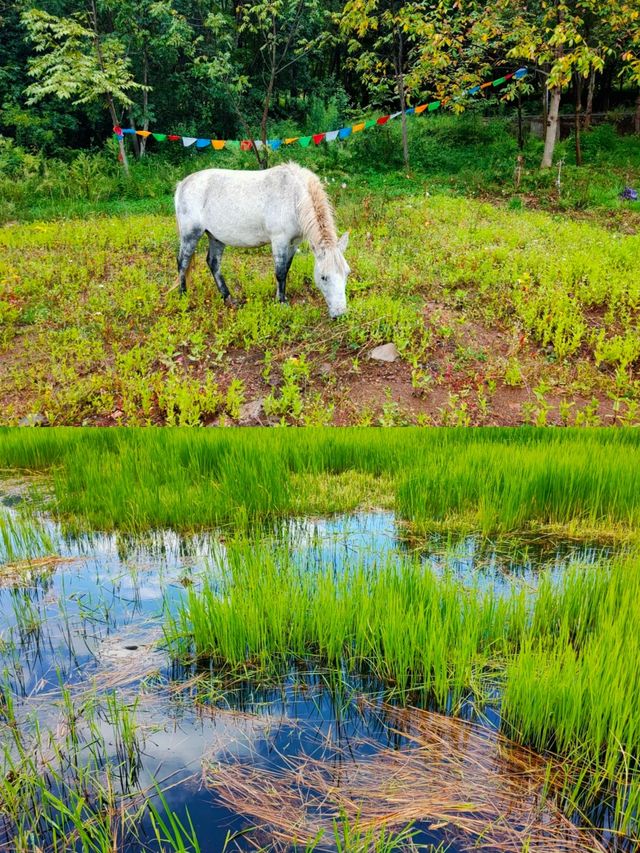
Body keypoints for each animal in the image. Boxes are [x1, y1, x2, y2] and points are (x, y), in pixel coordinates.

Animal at [174, 161, 350, 318]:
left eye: (347, 273)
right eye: (324, 277)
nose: (340, 313)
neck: (294, 197)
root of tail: (182, 184)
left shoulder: (293, 243)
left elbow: (286, 270)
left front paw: (281, 298)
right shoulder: (279, 240)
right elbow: (280, 272)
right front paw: (281, 303)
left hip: (216, 237)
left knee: (213, 263)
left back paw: (228, 299)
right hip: (191, 234)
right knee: (182, 262)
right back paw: (183, 297)